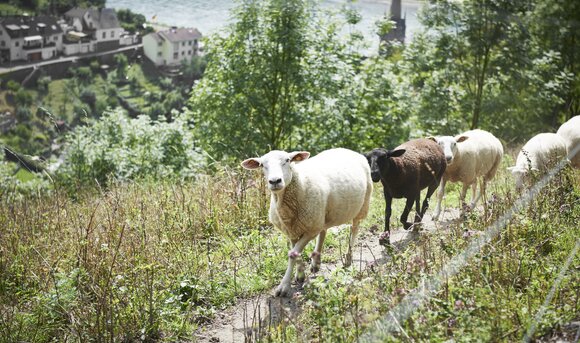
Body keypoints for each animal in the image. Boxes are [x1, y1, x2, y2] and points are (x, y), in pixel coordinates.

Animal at [240, 149, 372, 296]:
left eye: (287, 160)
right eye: (262, 165)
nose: (275, 181)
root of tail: (347, 150)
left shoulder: (310, 231)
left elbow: (292, 255)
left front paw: (284, 285)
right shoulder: (292, 231)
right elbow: (295, 253)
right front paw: (300, 274)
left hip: (362, 205)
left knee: (354, 229)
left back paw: (348, 258)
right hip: (321, 215)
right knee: (323, 231)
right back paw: (316, 262)